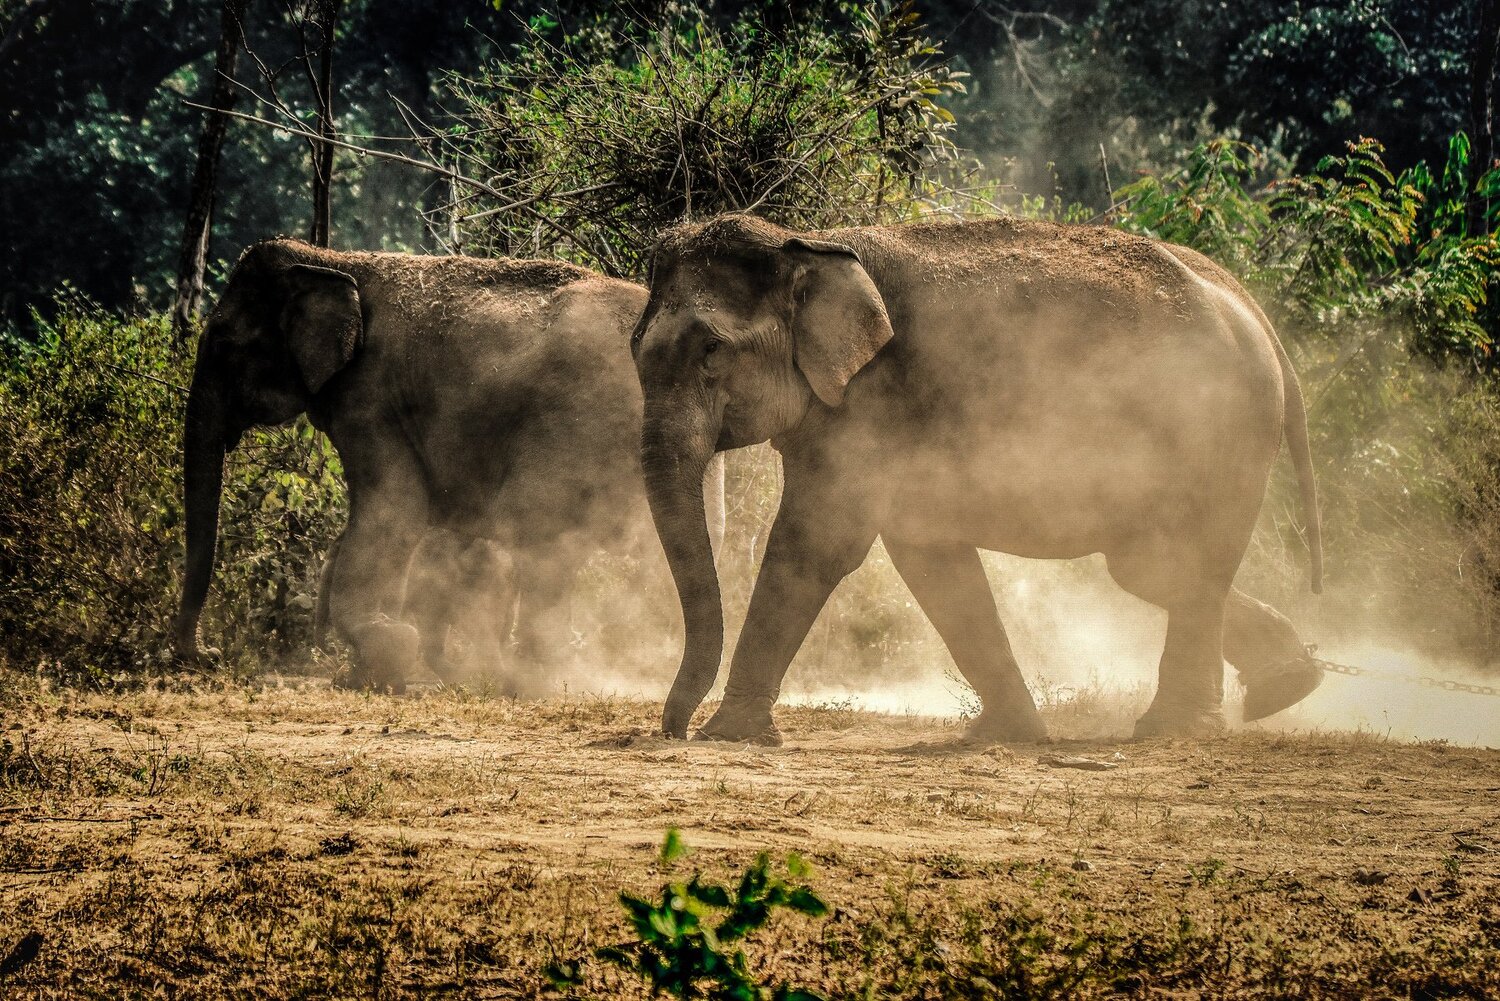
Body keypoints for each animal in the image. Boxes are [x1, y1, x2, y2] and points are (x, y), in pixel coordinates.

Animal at [175, 238, 725, 693]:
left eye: (224, 345)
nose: (206, 655)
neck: (334, 260)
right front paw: (371, 668)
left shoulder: (370, 398)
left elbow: (394, 509)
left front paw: (387, 649)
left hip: (579, 423)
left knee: (534, 529)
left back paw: (525, 680)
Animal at [632, 213, 1324, 745]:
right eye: (636, 352)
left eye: (711, 350)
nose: (672, 729)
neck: (805, 242)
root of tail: (1253, 314)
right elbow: (930, 557)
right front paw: (1010, 734)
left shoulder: (869, 402)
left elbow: (817, 544)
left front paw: (730, 734)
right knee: (1152, 569)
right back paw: (1289, 686)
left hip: (1223, 431)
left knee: (1182, 563)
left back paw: (1177, 728)